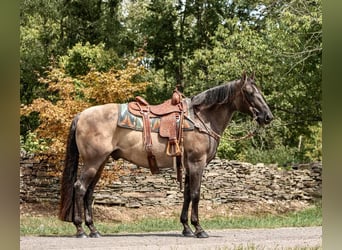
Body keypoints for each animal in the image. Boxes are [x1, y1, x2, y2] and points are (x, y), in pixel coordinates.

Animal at [58, 72, 272, 238]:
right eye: (249, 92)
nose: (267, 116)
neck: (201, 119)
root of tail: (81, 115)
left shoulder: (188, 165)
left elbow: (187, 194)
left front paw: (186, 228)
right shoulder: (197, 163)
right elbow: (196, 194)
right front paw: (199, 229)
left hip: (100, 163)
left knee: (89, 192)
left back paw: (93, 230)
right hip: (93, 162)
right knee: (80, 188)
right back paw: (80, 230)